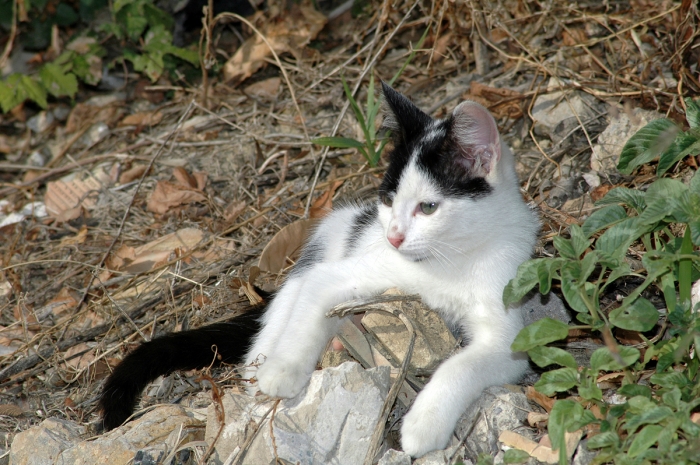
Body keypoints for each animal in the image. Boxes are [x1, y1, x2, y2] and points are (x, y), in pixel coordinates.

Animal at [98, 82, 540, 456]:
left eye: (428, 207)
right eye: (388, 200)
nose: (394, 237)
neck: (449, 263)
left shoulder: (508, 333)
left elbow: (461, 366)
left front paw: (423, 425)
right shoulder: (338, 273)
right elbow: (309, 314)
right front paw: (284, 370)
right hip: (314, 258)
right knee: (269, 332)